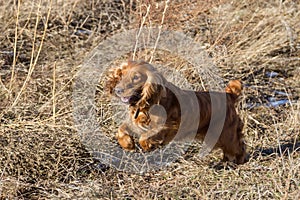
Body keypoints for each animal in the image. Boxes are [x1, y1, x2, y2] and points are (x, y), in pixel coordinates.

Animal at [105, 60, 246, 163]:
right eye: (121, 75)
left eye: (136, 78)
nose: (118, 90)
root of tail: (229, 95)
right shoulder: (137, 123)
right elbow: (121, 129)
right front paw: (128, 144)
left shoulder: (167, 126)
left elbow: (144, 137)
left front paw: (147, 146)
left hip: (226, 134)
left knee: (239, 146)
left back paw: (239, 161)